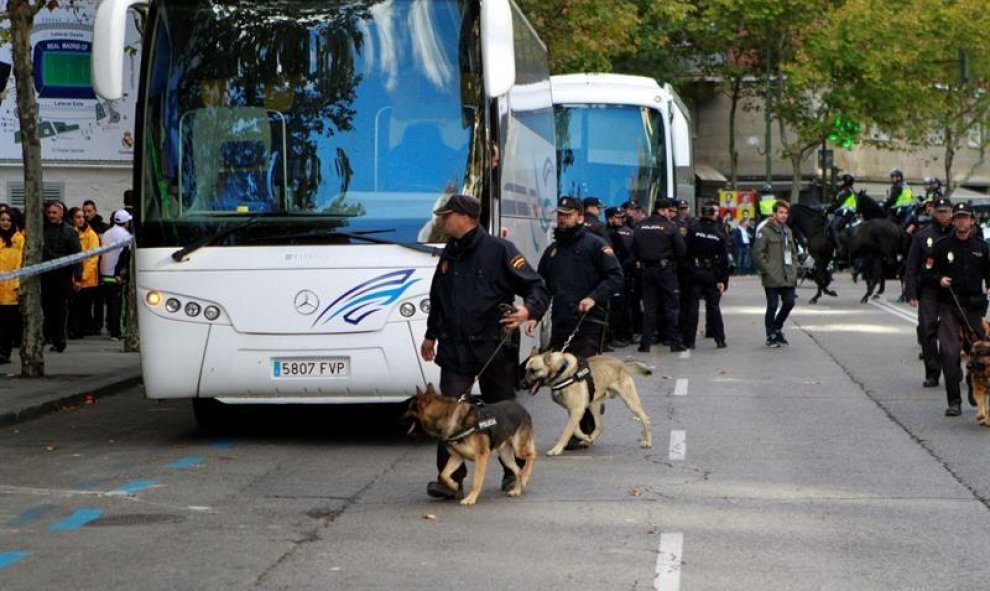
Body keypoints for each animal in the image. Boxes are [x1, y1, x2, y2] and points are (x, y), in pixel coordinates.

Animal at [406, 386, 540, 506]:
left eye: (409, 408)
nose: (400, 417)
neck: (446, 416)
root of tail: (522, 409)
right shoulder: (457, 457)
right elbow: (443, 474)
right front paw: (454, 485)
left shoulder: (481, 456)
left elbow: (476, 481)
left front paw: (471, 498)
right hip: (506, 457)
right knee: (518, 470)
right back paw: (517, 489)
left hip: (519, 449)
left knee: (533, 455)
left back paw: (525, 476)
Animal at [524, 352, 656, 458]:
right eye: (526, 370)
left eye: (533, 370)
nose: (522, 384)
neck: (561, 370)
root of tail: (621, 363)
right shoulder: (574, 411)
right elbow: (575, 430)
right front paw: (586, 438)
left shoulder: (576, 411)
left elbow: (566, 432)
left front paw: (556, 449)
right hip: (593, 405)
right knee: (600, 425)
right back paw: (589, 439)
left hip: (630, 401)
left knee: (646, 418)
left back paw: (648, 441)